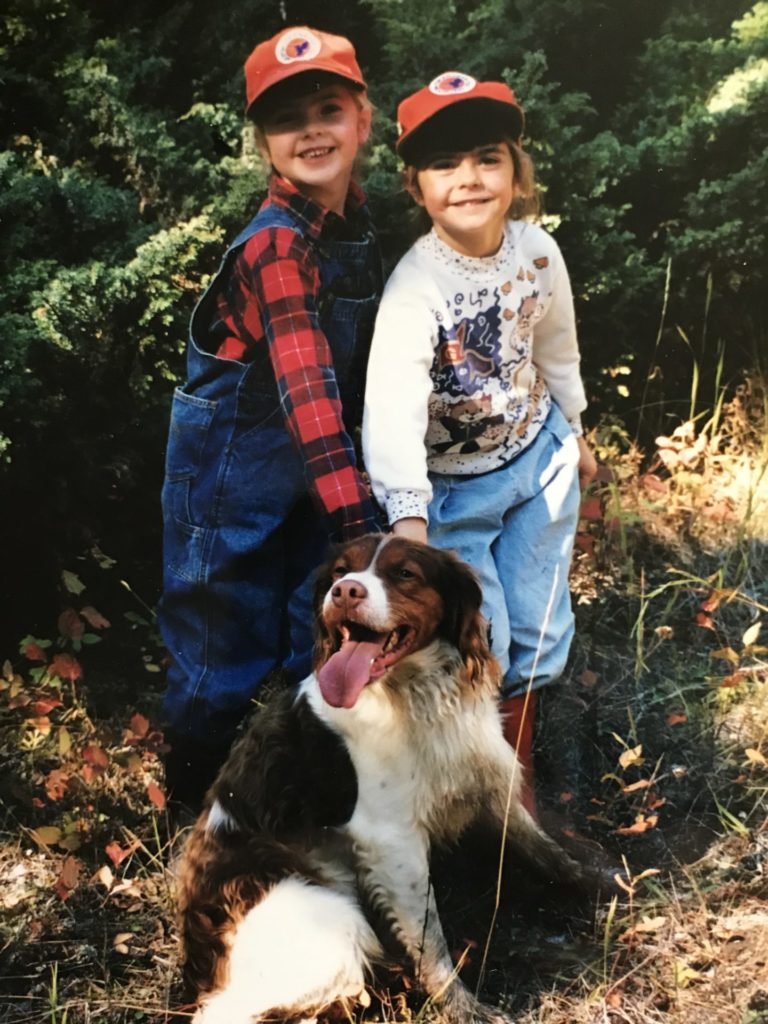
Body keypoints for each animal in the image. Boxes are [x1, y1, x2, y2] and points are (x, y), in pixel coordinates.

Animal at [179, 536, 589, 1024]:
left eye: (405, 573)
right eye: (340, 571)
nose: (345, 592)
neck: (413, 698)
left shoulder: (485, 777)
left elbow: (540, 844)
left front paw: (593, 886)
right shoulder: (393, 842)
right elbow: (432, 941)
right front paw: (465, 1008)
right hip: (329, 918)